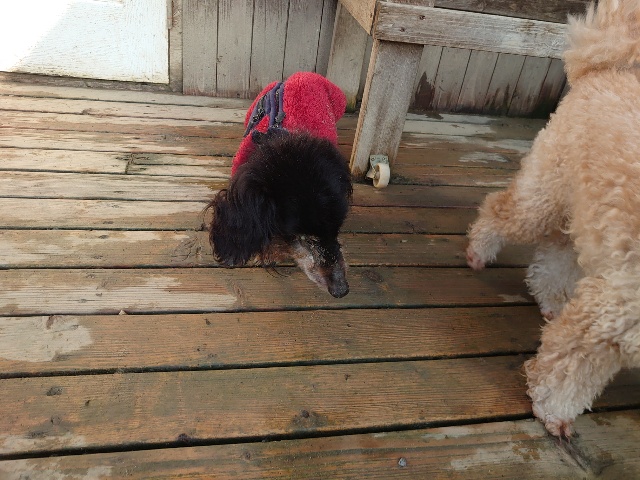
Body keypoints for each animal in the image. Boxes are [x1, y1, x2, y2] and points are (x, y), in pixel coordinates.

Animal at [466, 0, 640, 437]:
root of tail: (604, 69)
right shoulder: (606, 316)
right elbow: (569, 372)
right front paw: (553, 411)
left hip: (580, 215)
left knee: (555, 255)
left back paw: (549, 299)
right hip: (544, 196)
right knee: (498, 209)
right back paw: (478, 252)